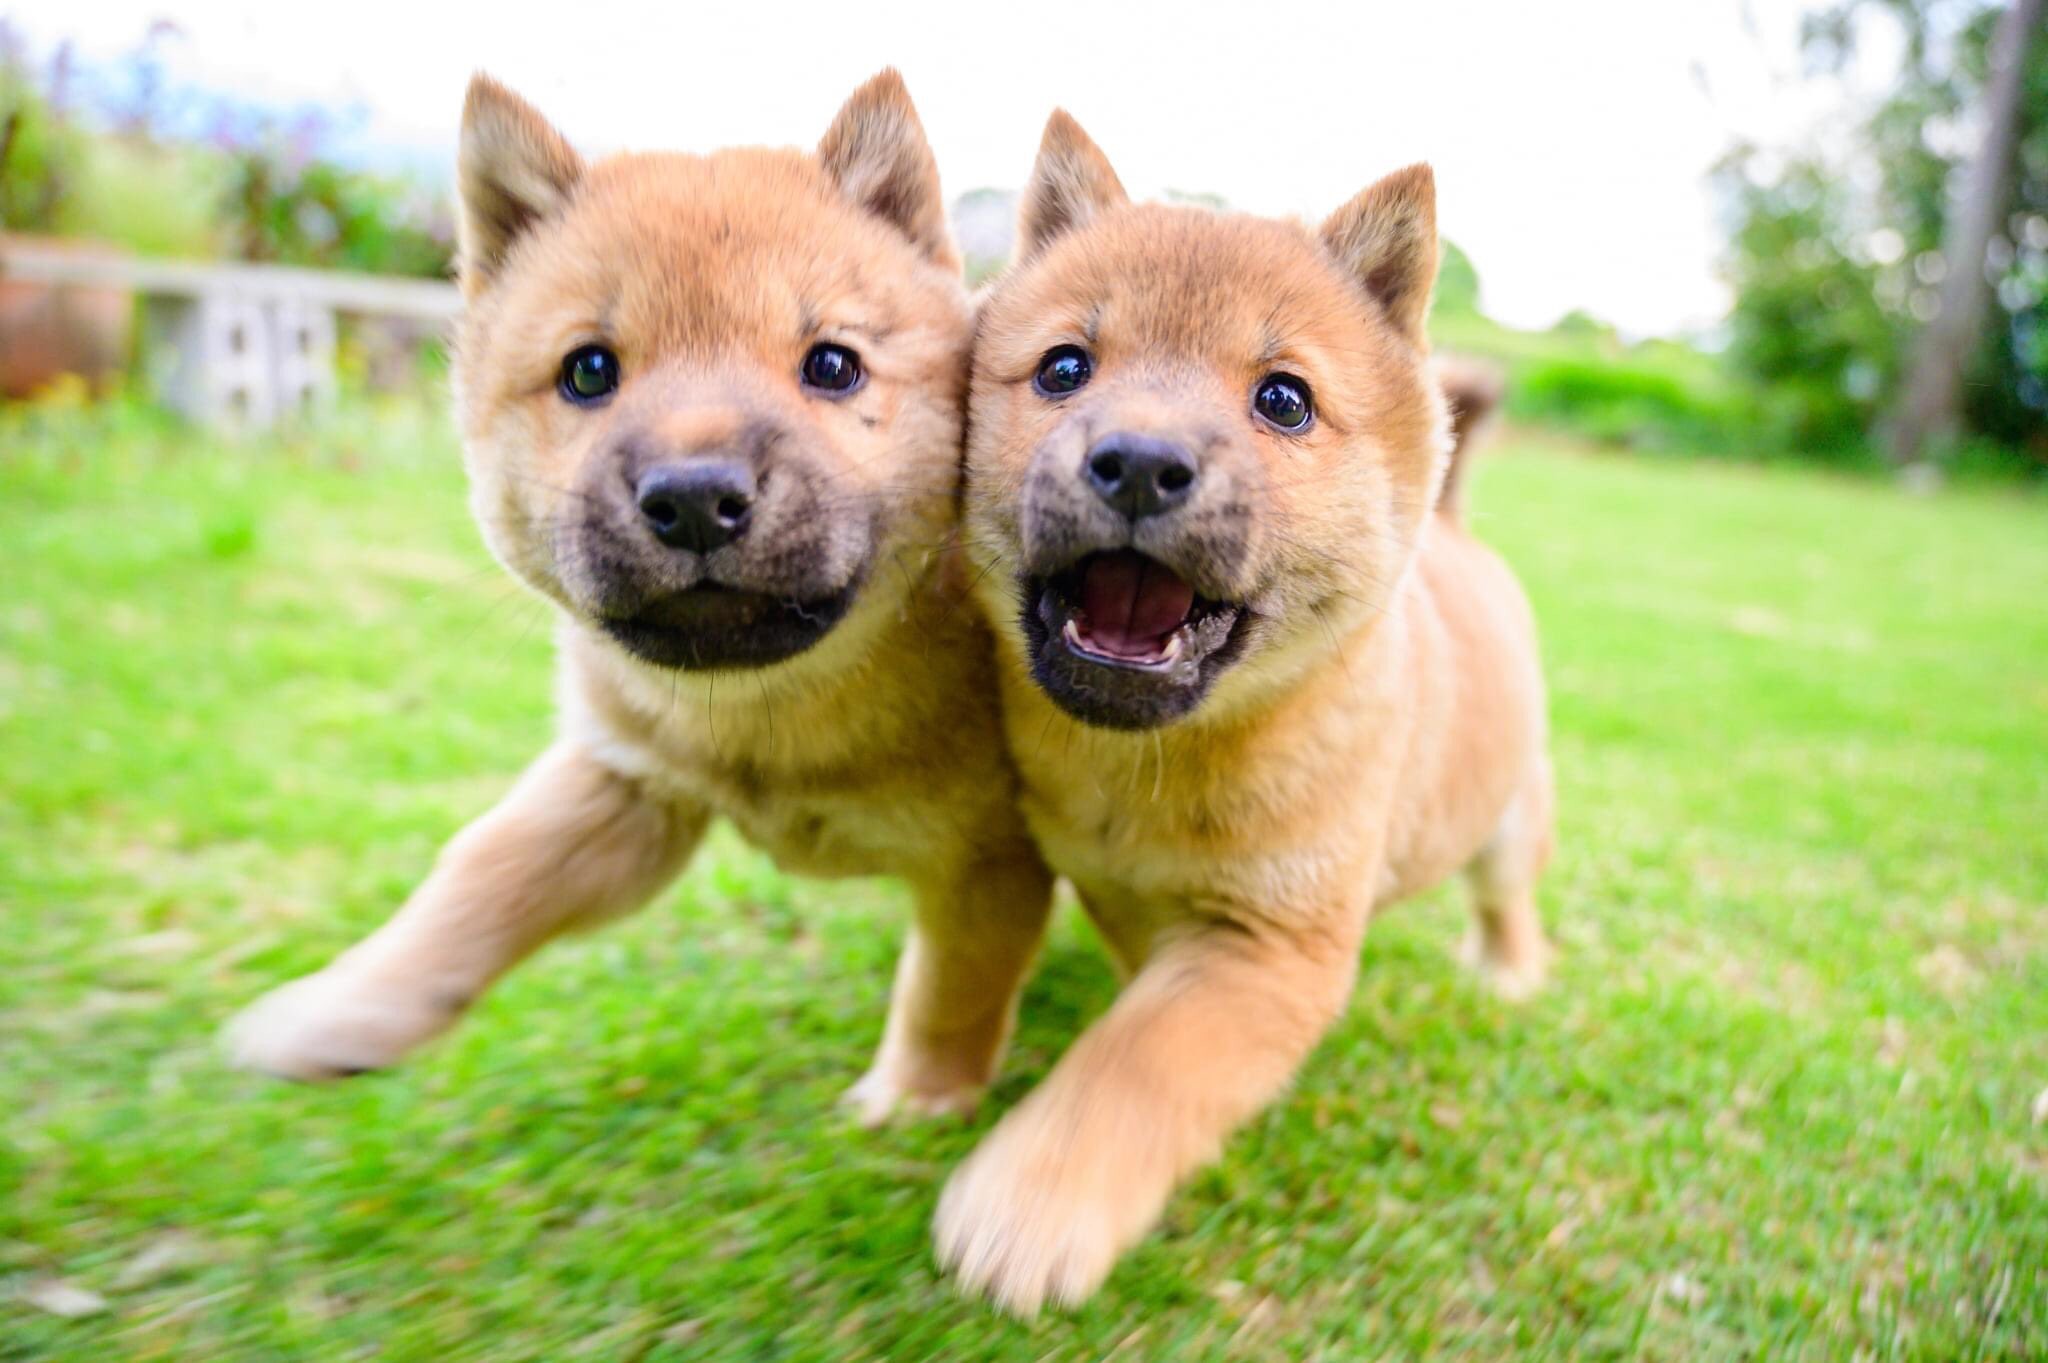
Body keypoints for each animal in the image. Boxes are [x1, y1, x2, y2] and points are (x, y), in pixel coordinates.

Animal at [226, 69, 1056, 1121]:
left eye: (832, 365)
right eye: (589, 371)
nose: (696, 497)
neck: (770, 718)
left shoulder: (989, 858)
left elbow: (952, 989)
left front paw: (912, 1100)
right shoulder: (624, 787)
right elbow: (479, 875)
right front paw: (342, 1011)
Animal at [942, 114, 1548, 1309]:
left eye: (1283, 400)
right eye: (1064, 367)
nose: (1137, 462)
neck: (1150, 767)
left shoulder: (1267, 947)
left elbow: (1140, 1058)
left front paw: (1030, 1204)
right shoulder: (1115, 885)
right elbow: (1138, 994)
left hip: (1508, 822)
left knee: (1507, 900)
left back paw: (1506, 971)